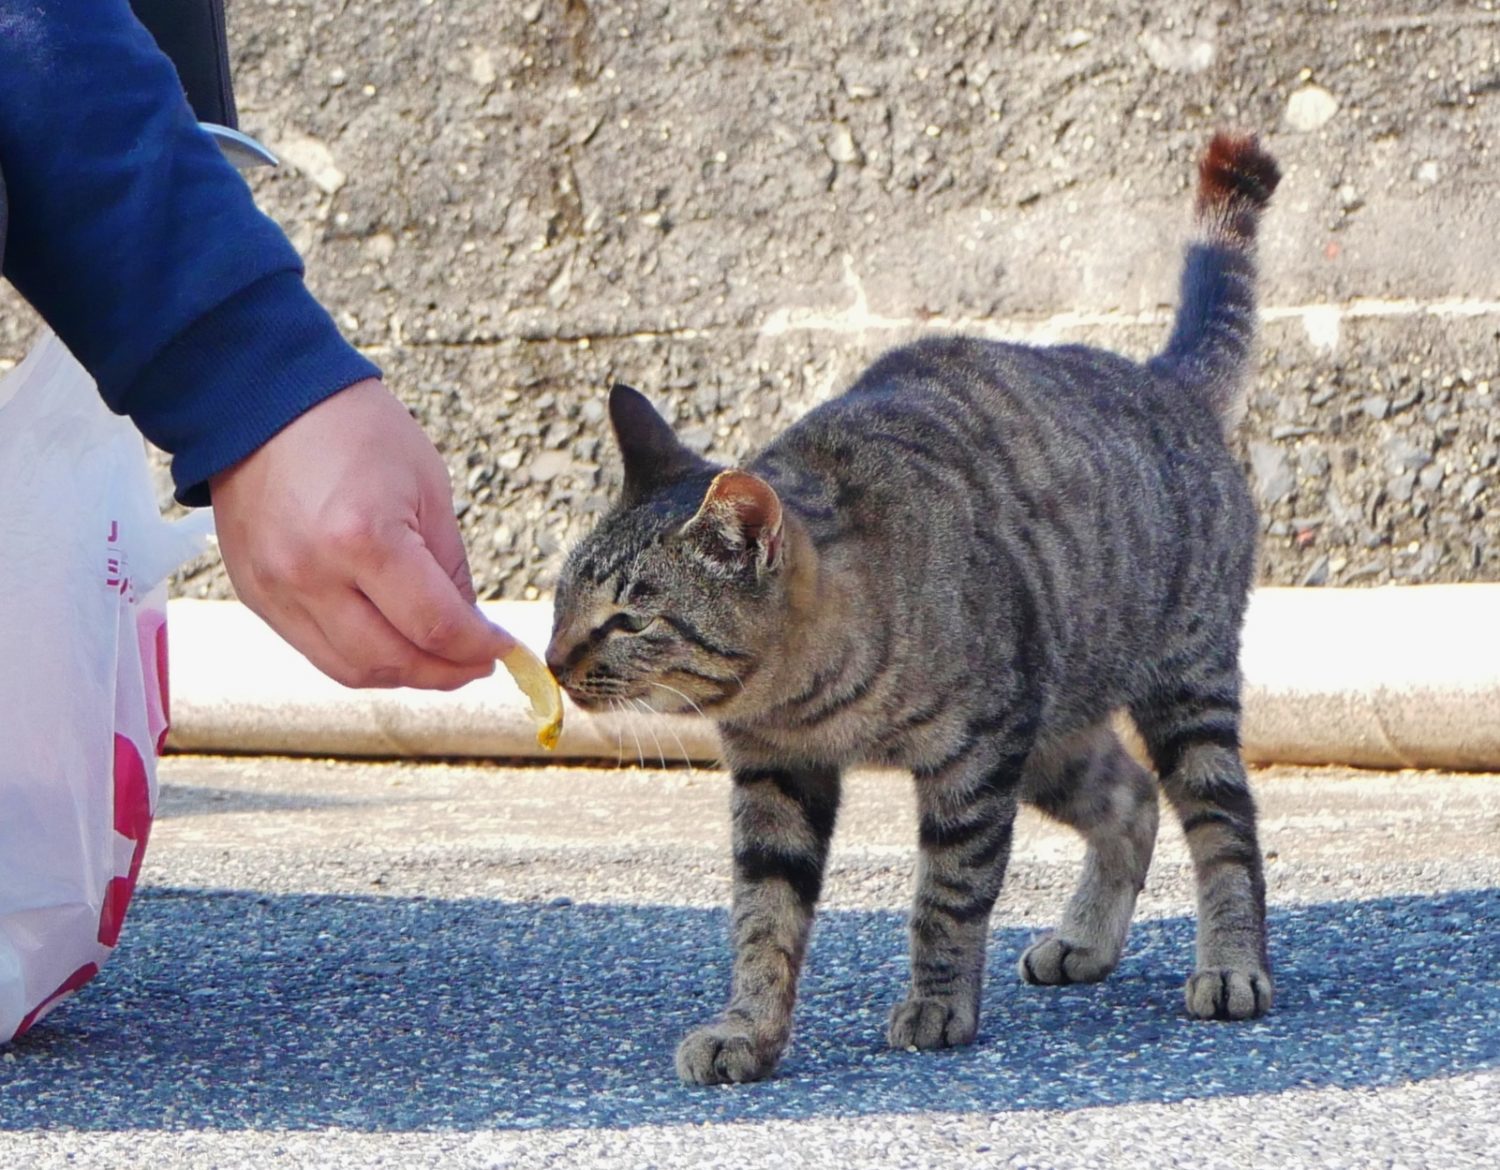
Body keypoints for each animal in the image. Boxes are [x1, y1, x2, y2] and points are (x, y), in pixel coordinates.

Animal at [549, 132, 1278, 1086]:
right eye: (563, 597)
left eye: (630, 619)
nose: (552, 661)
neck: (805, 700)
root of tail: (1162, 379)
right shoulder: (775, 776)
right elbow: (763, 917)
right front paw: (750, 1028)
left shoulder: (975, 759)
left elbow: (949, 896)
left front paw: (936, 1003)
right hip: (1051, 733)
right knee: (1129, 801)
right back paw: (1086, 938)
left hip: (1178, 690)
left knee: (1223, 823)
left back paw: (1230, 965)